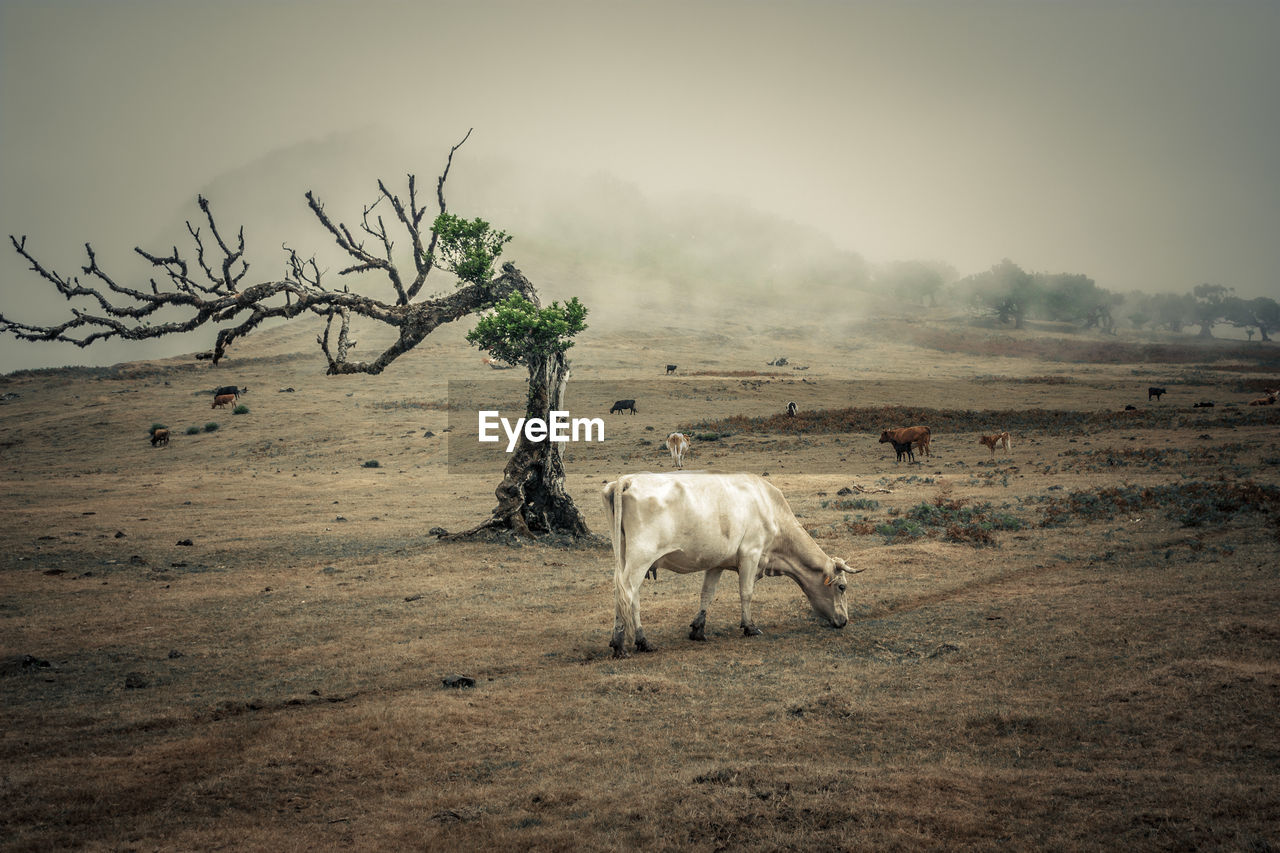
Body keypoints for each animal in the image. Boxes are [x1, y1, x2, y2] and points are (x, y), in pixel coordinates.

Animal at [601, 468, 860, 653]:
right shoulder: (751, 553)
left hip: (624, 557)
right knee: (628, 593)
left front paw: (698, 629)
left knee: (624, 594)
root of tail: (627, 479)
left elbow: (707, 594)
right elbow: (746, 592)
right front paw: (750, 626)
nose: (845, 621)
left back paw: (632, 641)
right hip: (641, 557)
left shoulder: (716, 562)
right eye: (842, 587)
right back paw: (629, 642)